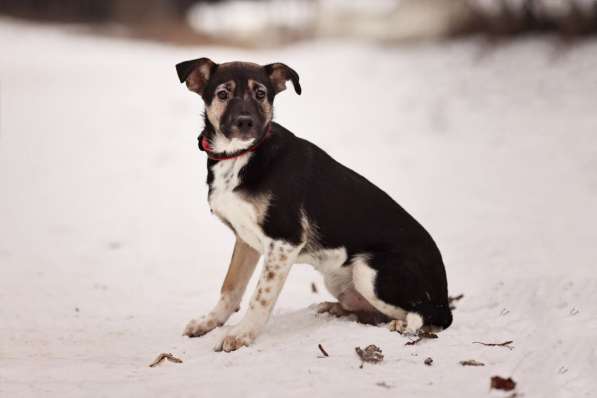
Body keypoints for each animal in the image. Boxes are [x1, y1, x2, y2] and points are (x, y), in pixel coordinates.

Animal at [175, 58, 450, 352]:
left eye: (260, 94)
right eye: (223, 94)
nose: (245, 122)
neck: (240, 155)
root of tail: (444, 298)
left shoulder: (284, 240)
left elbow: (260, 296)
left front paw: (242, 334)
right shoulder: (245, 238)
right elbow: (231, 286)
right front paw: (209, 322)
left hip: (368, 271)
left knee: (430, 317)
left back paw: (402, 324)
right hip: (339, 278)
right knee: (372, 313)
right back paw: (334, 309)